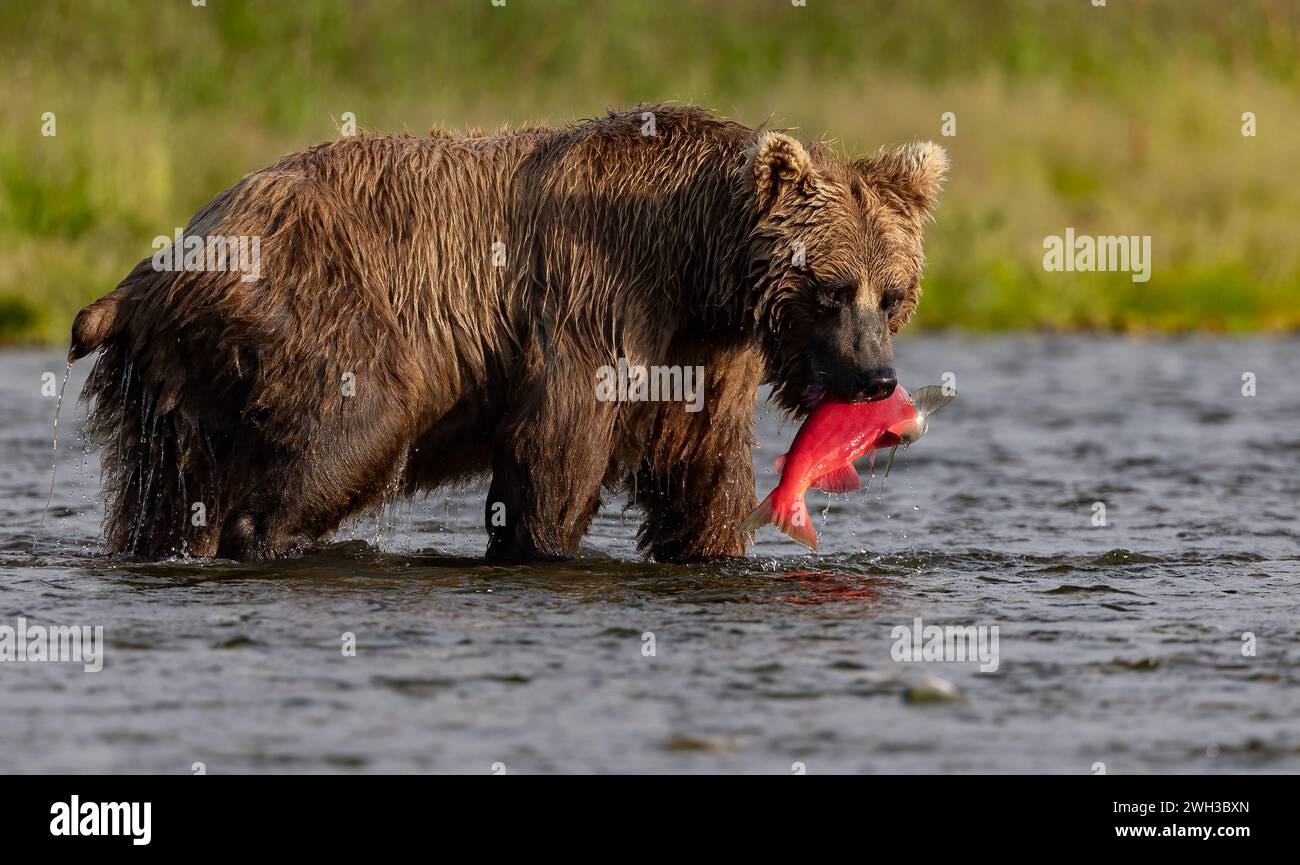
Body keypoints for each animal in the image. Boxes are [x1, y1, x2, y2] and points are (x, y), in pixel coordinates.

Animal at [68, 105, 947, 563]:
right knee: (358, 425)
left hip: (170, 387)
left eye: (893, 294)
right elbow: (557, 454)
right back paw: (266, 535)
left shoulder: (705, 353)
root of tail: (151, 268)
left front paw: (709, 544)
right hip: (314, 307)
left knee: (162, 495)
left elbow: (702, 473)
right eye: (830, 290)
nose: (873, 379)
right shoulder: (595, 301)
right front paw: (540, 542)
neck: (695, 264)